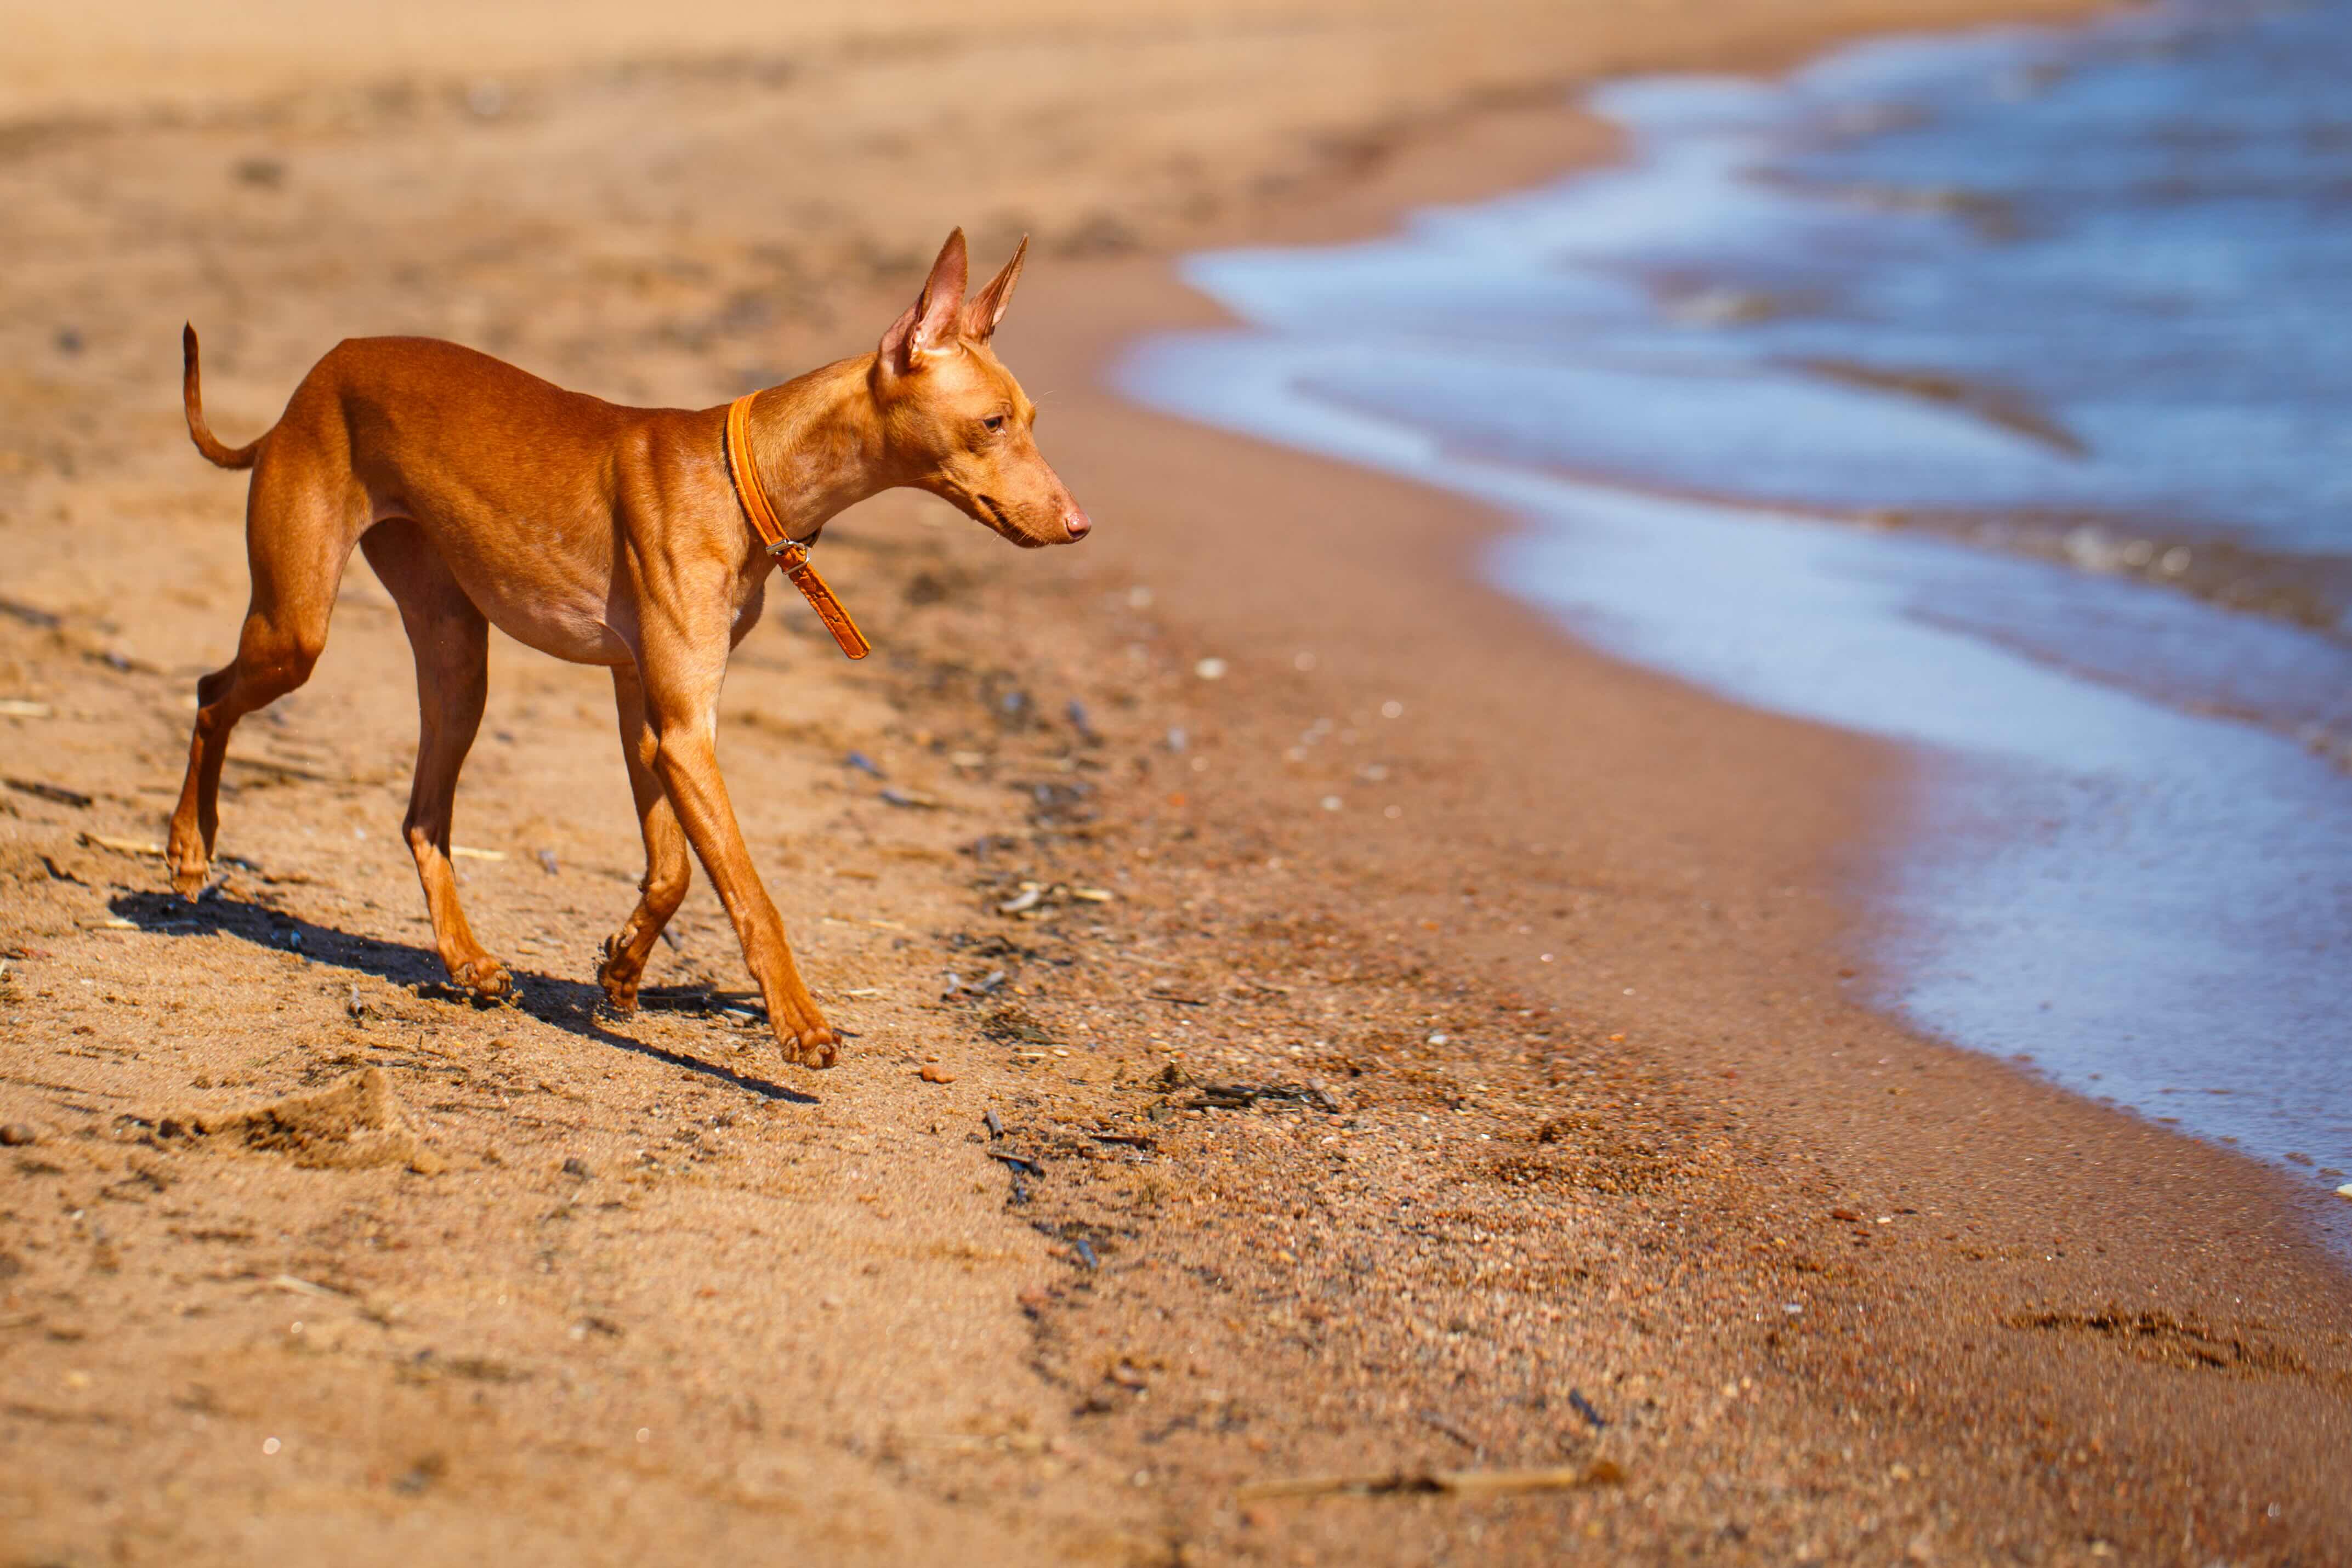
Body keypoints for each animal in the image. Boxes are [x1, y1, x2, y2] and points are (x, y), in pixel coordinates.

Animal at [171, 230, 1086, 1067]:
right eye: (991, 423)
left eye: (1034, 421)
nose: (1080, 525)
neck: (741, 475)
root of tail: (315, 379)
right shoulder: (682, 730)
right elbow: (748, 891)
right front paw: (799, 1023)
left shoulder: (647, 709)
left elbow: (673, 870)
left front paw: (622, 967)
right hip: (297, 631)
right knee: (211, 693)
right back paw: (188, 850)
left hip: (456, 659)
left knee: (422, 818)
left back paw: (467, 962)